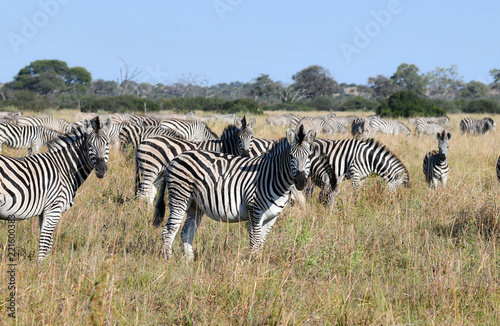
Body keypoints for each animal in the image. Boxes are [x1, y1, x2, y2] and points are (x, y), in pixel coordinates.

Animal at [0, 117, 110, 262]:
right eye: (89, 145)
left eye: (107, 144)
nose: (101, 170)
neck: (63, 169)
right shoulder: (53, 208)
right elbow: (45, 241)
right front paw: (40, 266)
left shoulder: (44, 211)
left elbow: (48, 242)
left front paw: (45, 264)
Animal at [154, 125, 322, 260]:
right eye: (291, 157)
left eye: (308, 157)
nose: (301, 182)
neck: (273, 177)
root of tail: (175, 158)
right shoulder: (255, 212)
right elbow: (254, 242)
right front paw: (252, 266)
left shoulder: (271, 217)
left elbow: (261, 242)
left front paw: (258, 265)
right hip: (180, 197)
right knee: (169, 231)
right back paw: (169, 261)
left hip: (195, 205)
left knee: (186, 232)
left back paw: (189, 262)